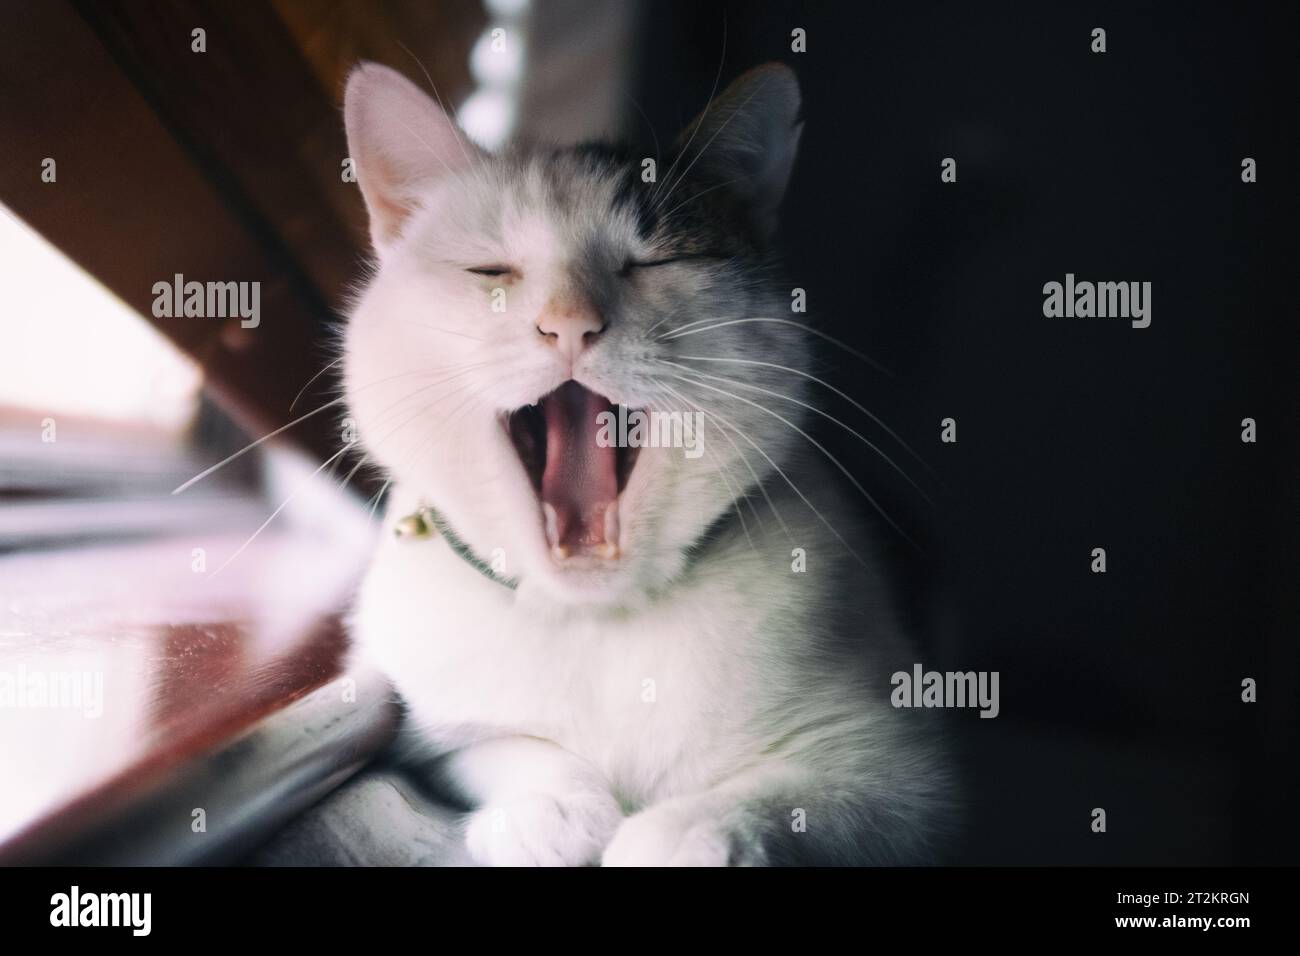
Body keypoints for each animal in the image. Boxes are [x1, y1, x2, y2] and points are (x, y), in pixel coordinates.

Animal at [340, 61, 951, 868]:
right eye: (490, 269)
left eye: (654, 261)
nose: (569, 323)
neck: (598, 620)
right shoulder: (430, 734)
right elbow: (498, 746)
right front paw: (550, 807)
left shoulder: (894, 773)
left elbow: (769, 802)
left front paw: (681, 837)